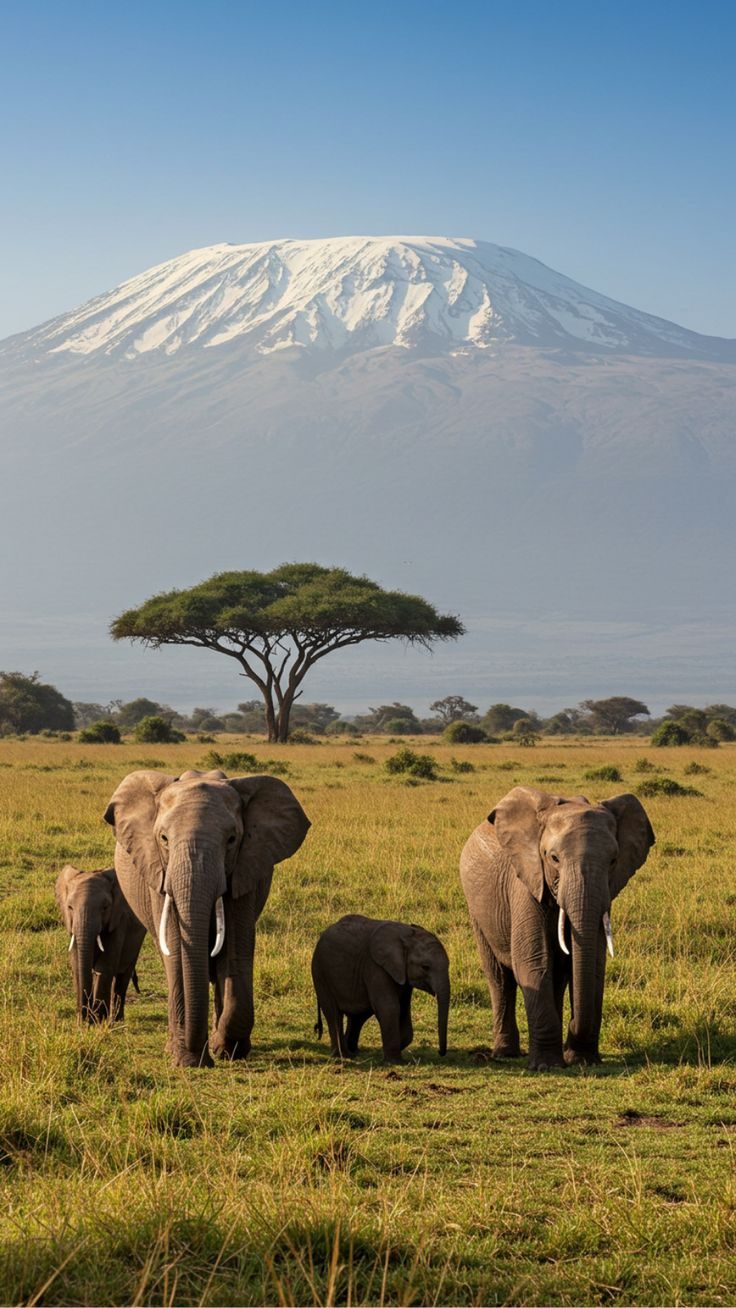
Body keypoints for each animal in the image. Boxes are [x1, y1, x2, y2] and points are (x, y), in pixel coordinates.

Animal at [55, 864, 146, 1023]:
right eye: (70, 907)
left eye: (105, 908)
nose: (84, 1017)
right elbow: (77, 965)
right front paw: (84, 1021)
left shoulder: (119, 921)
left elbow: (105, 966)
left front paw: (97, 1021)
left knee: (123, 976)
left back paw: (116, 1020)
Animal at [103, 768, 310, 1068]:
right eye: (164, 839)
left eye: (232, 840)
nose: (202, 1058)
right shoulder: (158, 873)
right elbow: (177, 954)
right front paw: (186, 1058)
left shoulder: (245, 868)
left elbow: (236, 951)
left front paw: (226, 1049)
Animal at [311, 914, 450, 1063]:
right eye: (425, 967)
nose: (440, 1052)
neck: (406, 936)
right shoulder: (375, 967)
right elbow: (389, 1007)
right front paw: (394, 1061)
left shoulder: (402, 976)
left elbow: (403, 1010)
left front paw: (384, 1054)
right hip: (320, 972)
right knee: (333, 1012)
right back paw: (343, 1055)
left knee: (358, 1016)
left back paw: (353, 1052)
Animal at [460, 787, 654, 1070]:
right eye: (554, 858)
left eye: (613, 860)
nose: (573, 1030)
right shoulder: (526, 880)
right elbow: (534, 960)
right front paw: (547, 1066)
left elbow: (593, 964)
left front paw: (582, 1060)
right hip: (477, 910)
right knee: (499, 977)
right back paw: (506, 1053)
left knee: (558, 977)